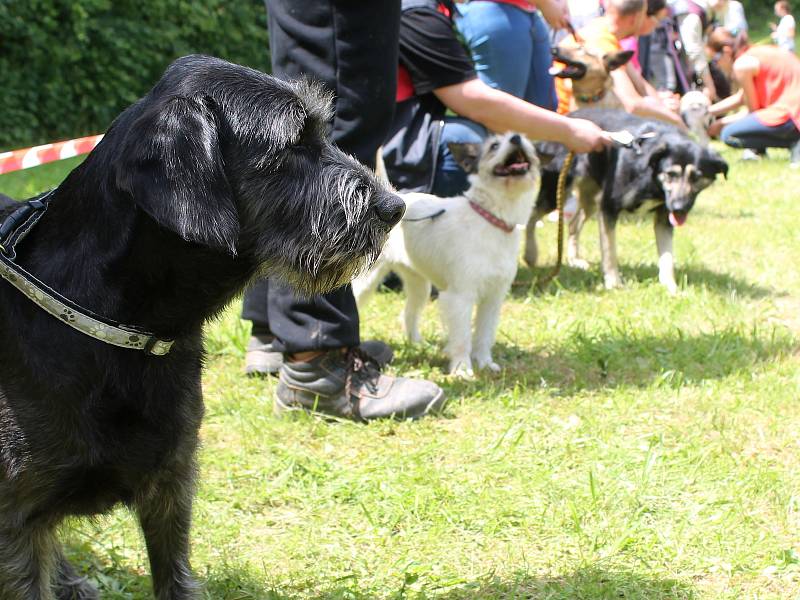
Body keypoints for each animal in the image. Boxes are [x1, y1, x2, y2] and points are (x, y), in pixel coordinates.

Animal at [0, 56, 404, 600]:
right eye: (293, 144)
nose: (395, 207)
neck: (122, 328)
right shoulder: (15, 523)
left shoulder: (172, 488)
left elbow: (175, 577)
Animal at [356, 133, 544, 376]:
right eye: (494, 145)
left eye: (529, 145)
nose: (516, 137)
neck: (491, 219)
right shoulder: (460, 297)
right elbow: (463, 337)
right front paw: (462, 368)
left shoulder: (493, 298)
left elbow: (484, 334)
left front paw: (484, 363)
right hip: (366, 281)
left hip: (419, 284)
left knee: (409, 312)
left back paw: (416, 343)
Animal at [528, 109, 728, 296]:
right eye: (671, 174)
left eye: (696, 177)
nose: (679, 208)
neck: (649, 171)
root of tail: (567, 116)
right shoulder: (608, 208)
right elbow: (610, 251)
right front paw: (613, 282)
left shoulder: (664, 218)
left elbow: (667, 257)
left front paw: (670, 286)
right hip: (558, 190)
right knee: (532, 215)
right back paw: (530, 255)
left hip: (591, 197)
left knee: (574, 223)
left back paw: (574, 260)